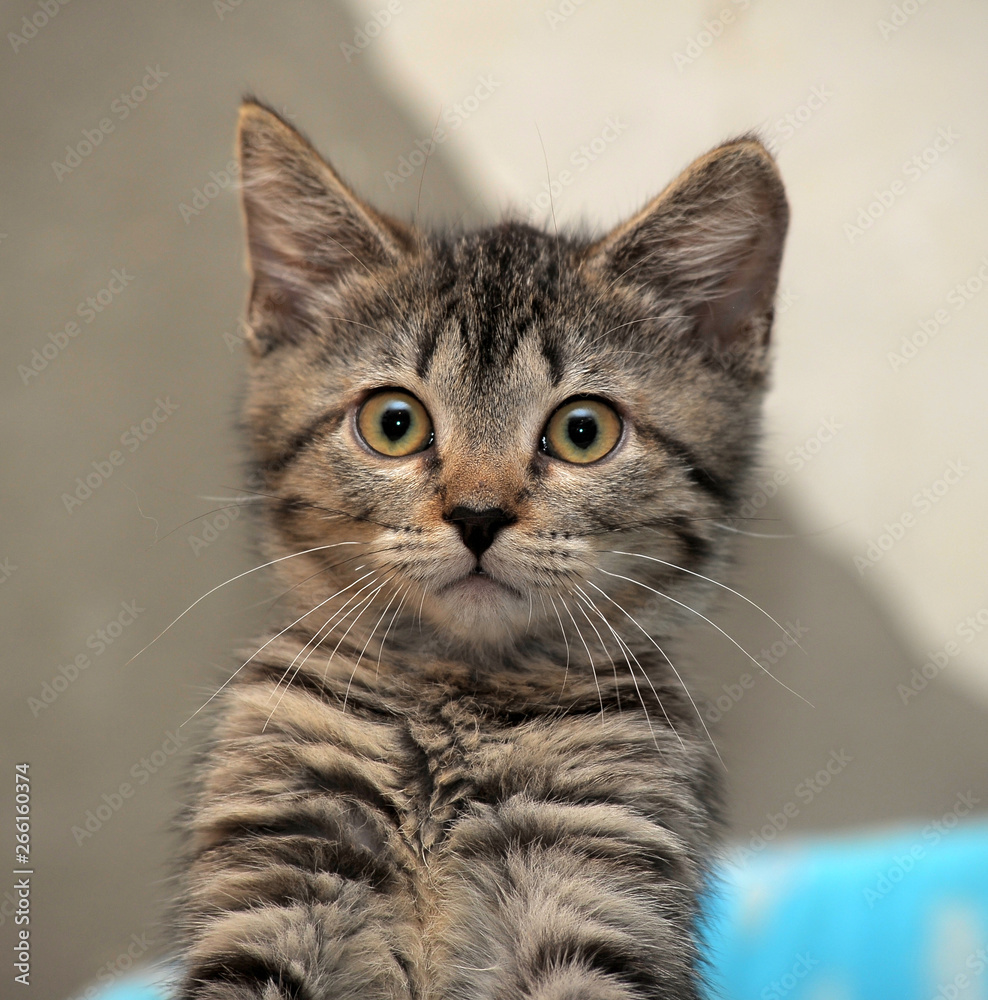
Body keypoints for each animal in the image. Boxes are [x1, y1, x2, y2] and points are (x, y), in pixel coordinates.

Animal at [170, 101, 788, 1000]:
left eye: (583, 431)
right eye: (394, 423)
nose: (478, 515)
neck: (455, 701)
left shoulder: (597, 875)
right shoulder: (279, 856)